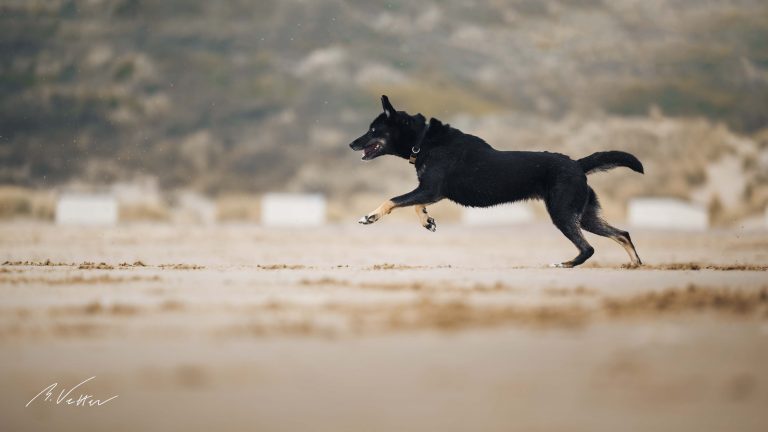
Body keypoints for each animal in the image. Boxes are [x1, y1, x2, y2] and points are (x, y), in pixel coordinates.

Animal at [352, 96, 644, 268]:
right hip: (584, 215)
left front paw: (370, 216)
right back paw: (635, 263)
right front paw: (427, 221)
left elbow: (392, 200)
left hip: (562, 213)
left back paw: (567, 264)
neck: (423, 140)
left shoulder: (430, 189)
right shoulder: (430, 192)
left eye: (373, 130)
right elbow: (413, 205)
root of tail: (577, 164)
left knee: (589, 247)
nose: (351, 144)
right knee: (622, 234)